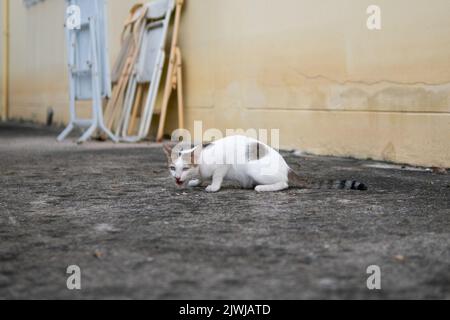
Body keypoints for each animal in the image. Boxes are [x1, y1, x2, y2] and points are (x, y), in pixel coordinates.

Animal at [163, 135, 368, 192]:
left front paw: (213, 186)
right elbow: (203, 177)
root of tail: (287, 168)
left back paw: (262, 187)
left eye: (185, 168)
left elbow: (217, 176)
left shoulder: (223, 164)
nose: (178, 178)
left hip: (254, 168)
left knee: (284, 184)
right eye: (173, 168)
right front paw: (197, 181)